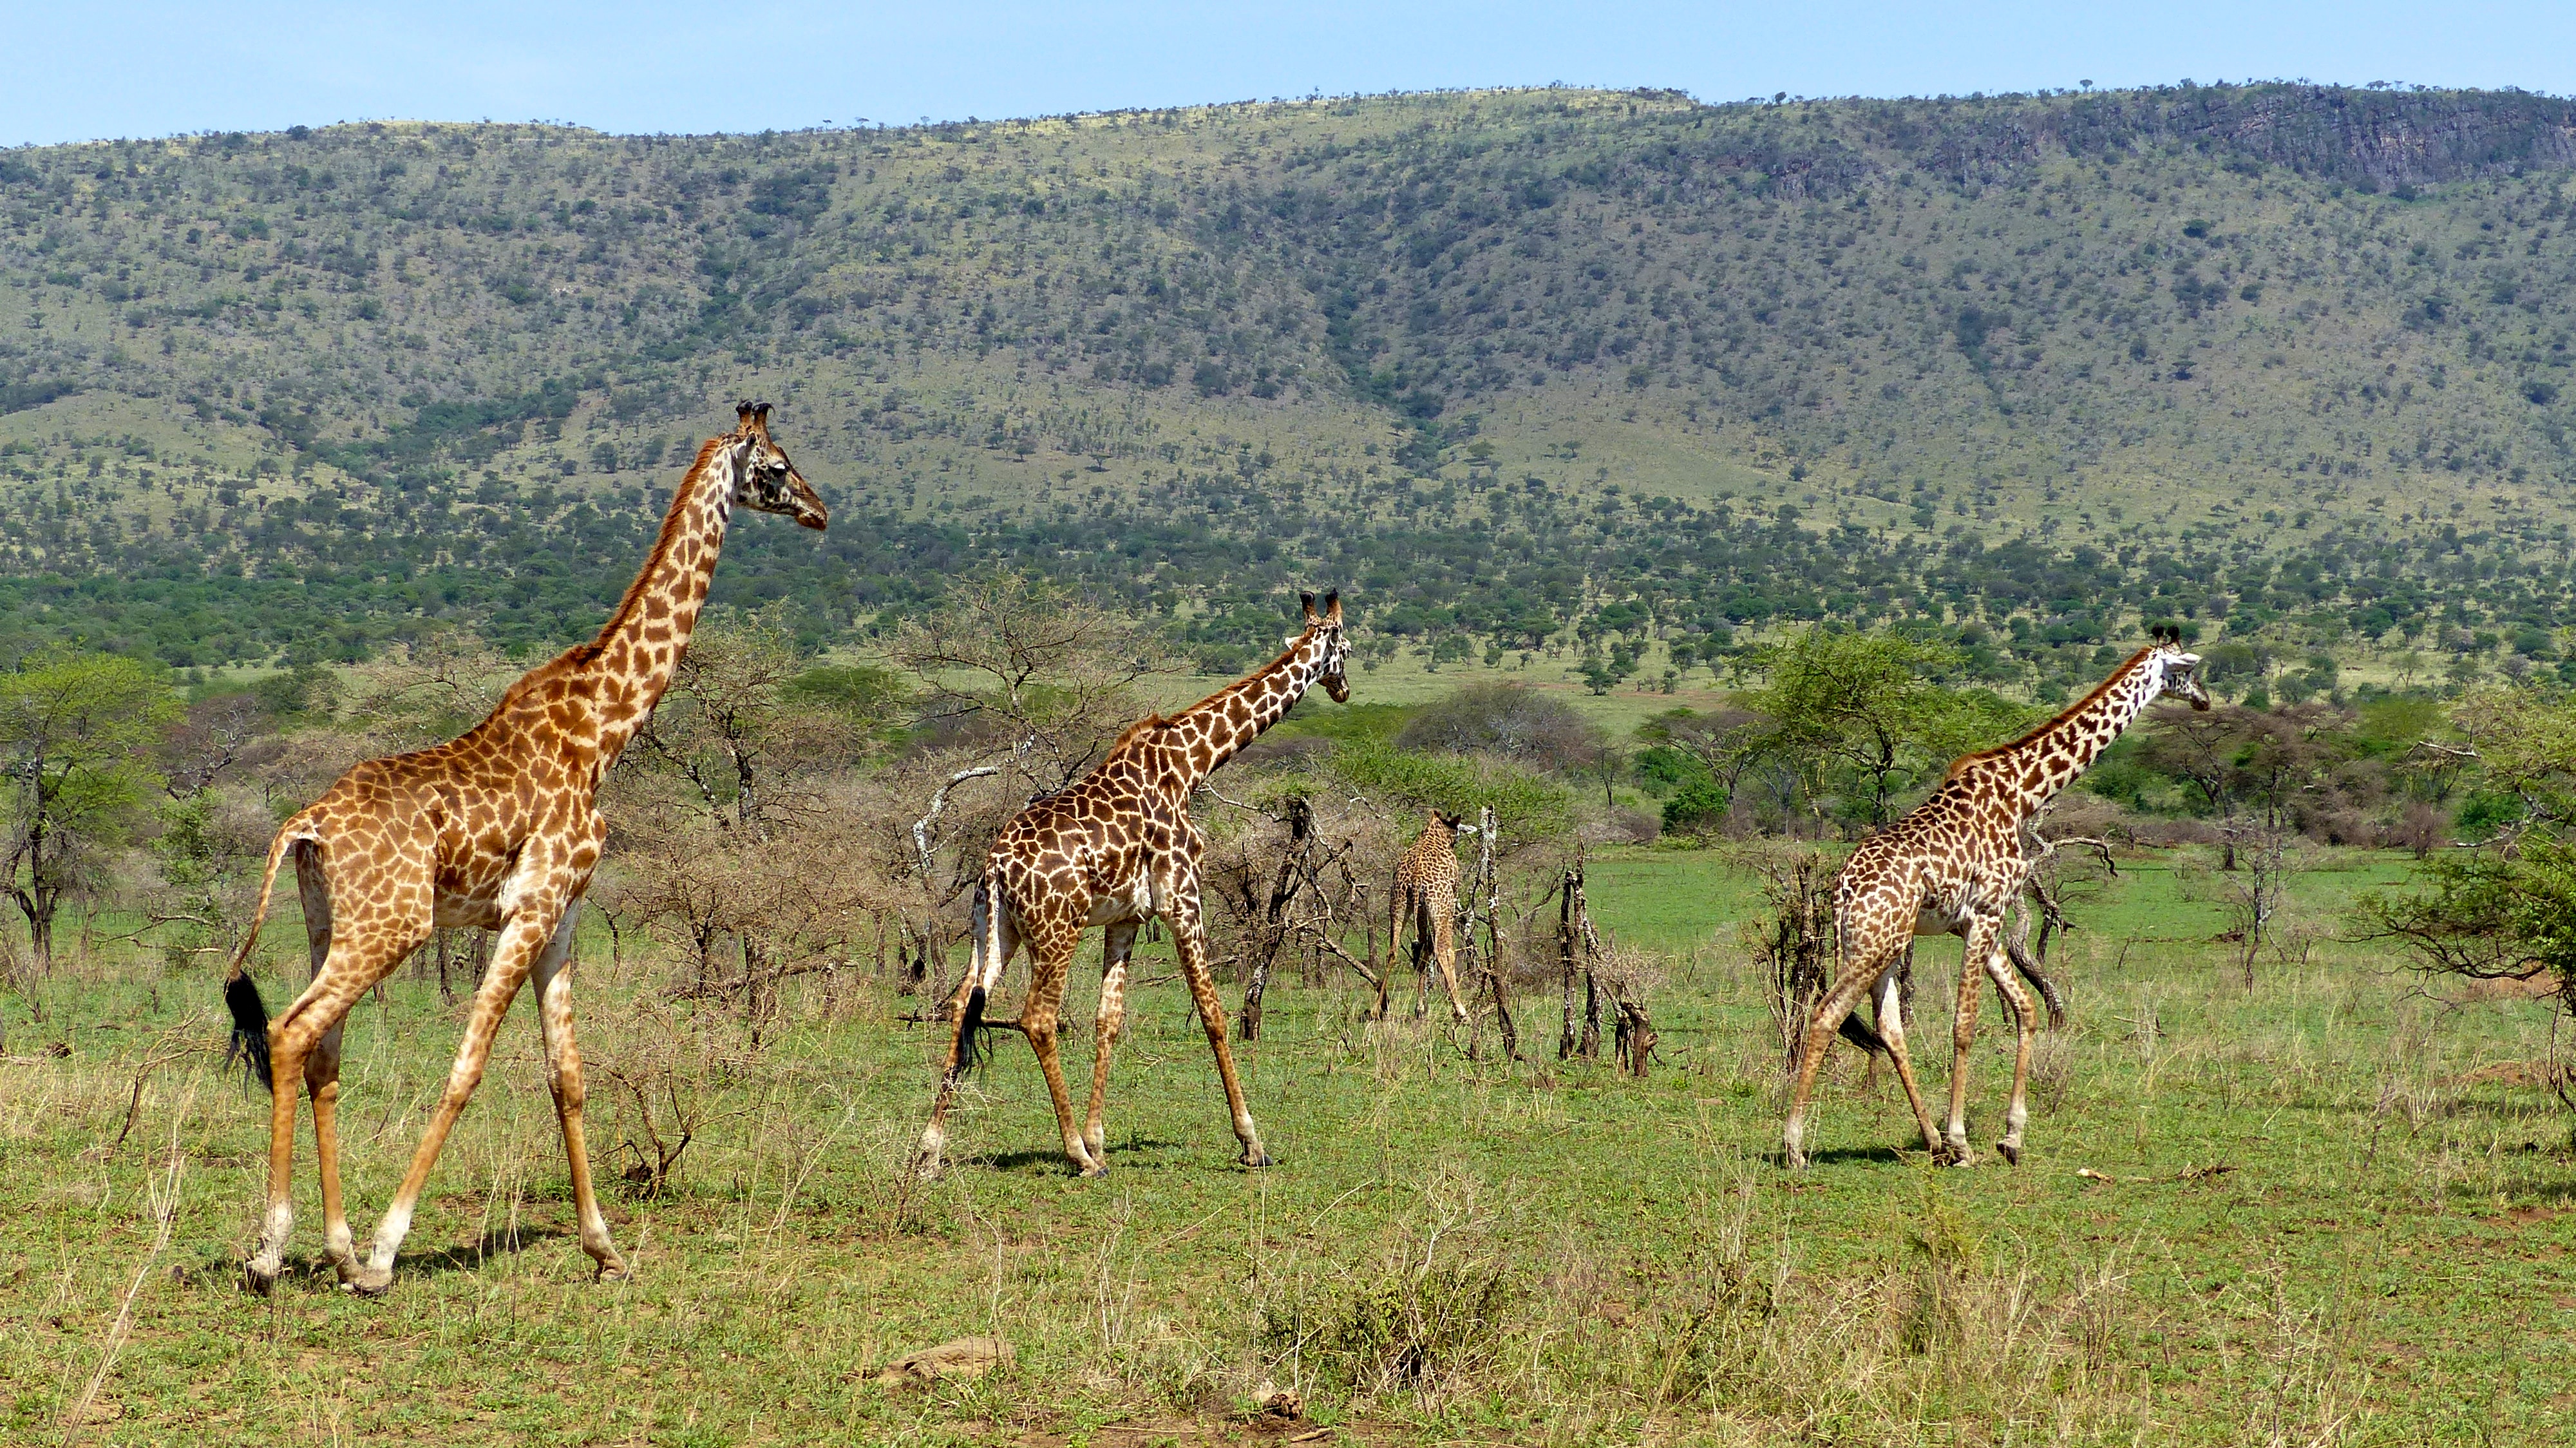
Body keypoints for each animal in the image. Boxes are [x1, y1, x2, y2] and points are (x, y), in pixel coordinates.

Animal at [223, 399, 829, 1288]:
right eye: (779, 466)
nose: (820, 511)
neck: (604, 730)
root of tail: (306, 822)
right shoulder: (529, 906)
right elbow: (466, 1067)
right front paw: (389, 1248)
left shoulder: (565, 915)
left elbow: (566, 1074)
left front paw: (604, 1246)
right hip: (393, 925)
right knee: (292, 1032)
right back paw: (276, 1248)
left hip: (328, 922)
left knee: (323, 1051)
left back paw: (333, 1248)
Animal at [912, 587, 1360, 1175]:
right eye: (1347, 650)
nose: (1345, 690)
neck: (1191, 765)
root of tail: (996, 867)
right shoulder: (1183, 898)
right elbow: (1213, 1015)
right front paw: (1251, 1143)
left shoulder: (1125, 917)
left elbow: (1110, 1020)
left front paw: (1100, 1136)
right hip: (1057, 930)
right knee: (1038, 1019)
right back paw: (1077, 1156)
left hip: (992, 930)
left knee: (963, 1004)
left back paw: (930, 1150)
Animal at [1381, 804, 1484, 1020]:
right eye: (1459, 829)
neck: (1436, 834)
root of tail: (1415, 879)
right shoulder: (1451, 897)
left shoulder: (1419, 909)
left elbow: (1423, 949)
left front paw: (1420, 1008)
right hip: (1442, 908)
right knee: (1444, 951)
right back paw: (1462, 1011)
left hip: (1399, 903)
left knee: (1394, 951)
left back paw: (1378, 1009)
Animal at [1783, 626, 2205, 1165]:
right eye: (2188, 670)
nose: (2205, 700)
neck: (2023, 792)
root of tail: (1841, 888)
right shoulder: (1986, 912)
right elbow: (1965, 1025)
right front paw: (1963, 1141)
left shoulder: (1980, 919)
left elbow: (2025, 1008)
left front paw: (2011, 1136)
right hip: (1874, 944)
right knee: (1826, 1016)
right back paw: (1796, 1145)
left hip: (1885, 943)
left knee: (1889, 1028)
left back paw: (1929, 1138)